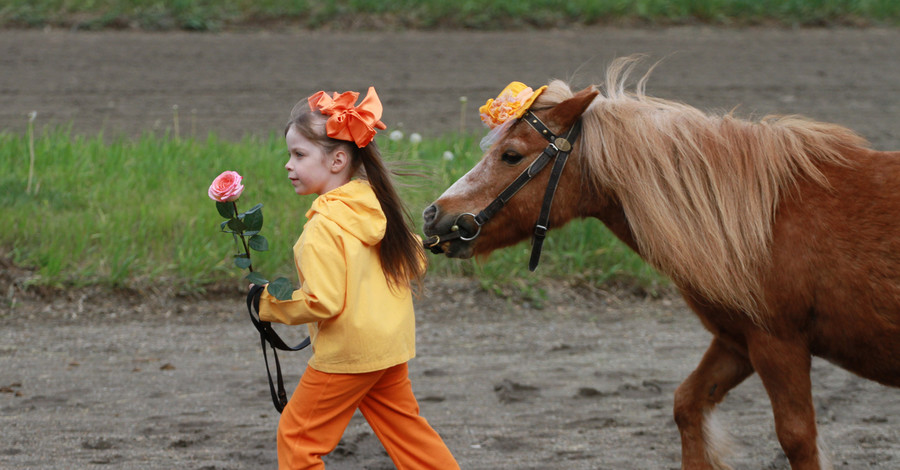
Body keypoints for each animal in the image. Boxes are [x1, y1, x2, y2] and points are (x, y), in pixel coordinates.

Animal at [422, 56, 900, 470]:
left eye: (511, 155)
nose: (433, 214)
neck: (764, 219)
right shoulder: (736, 342)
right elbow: (687, 406)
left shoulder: (779, 345)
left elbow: (798, 439)